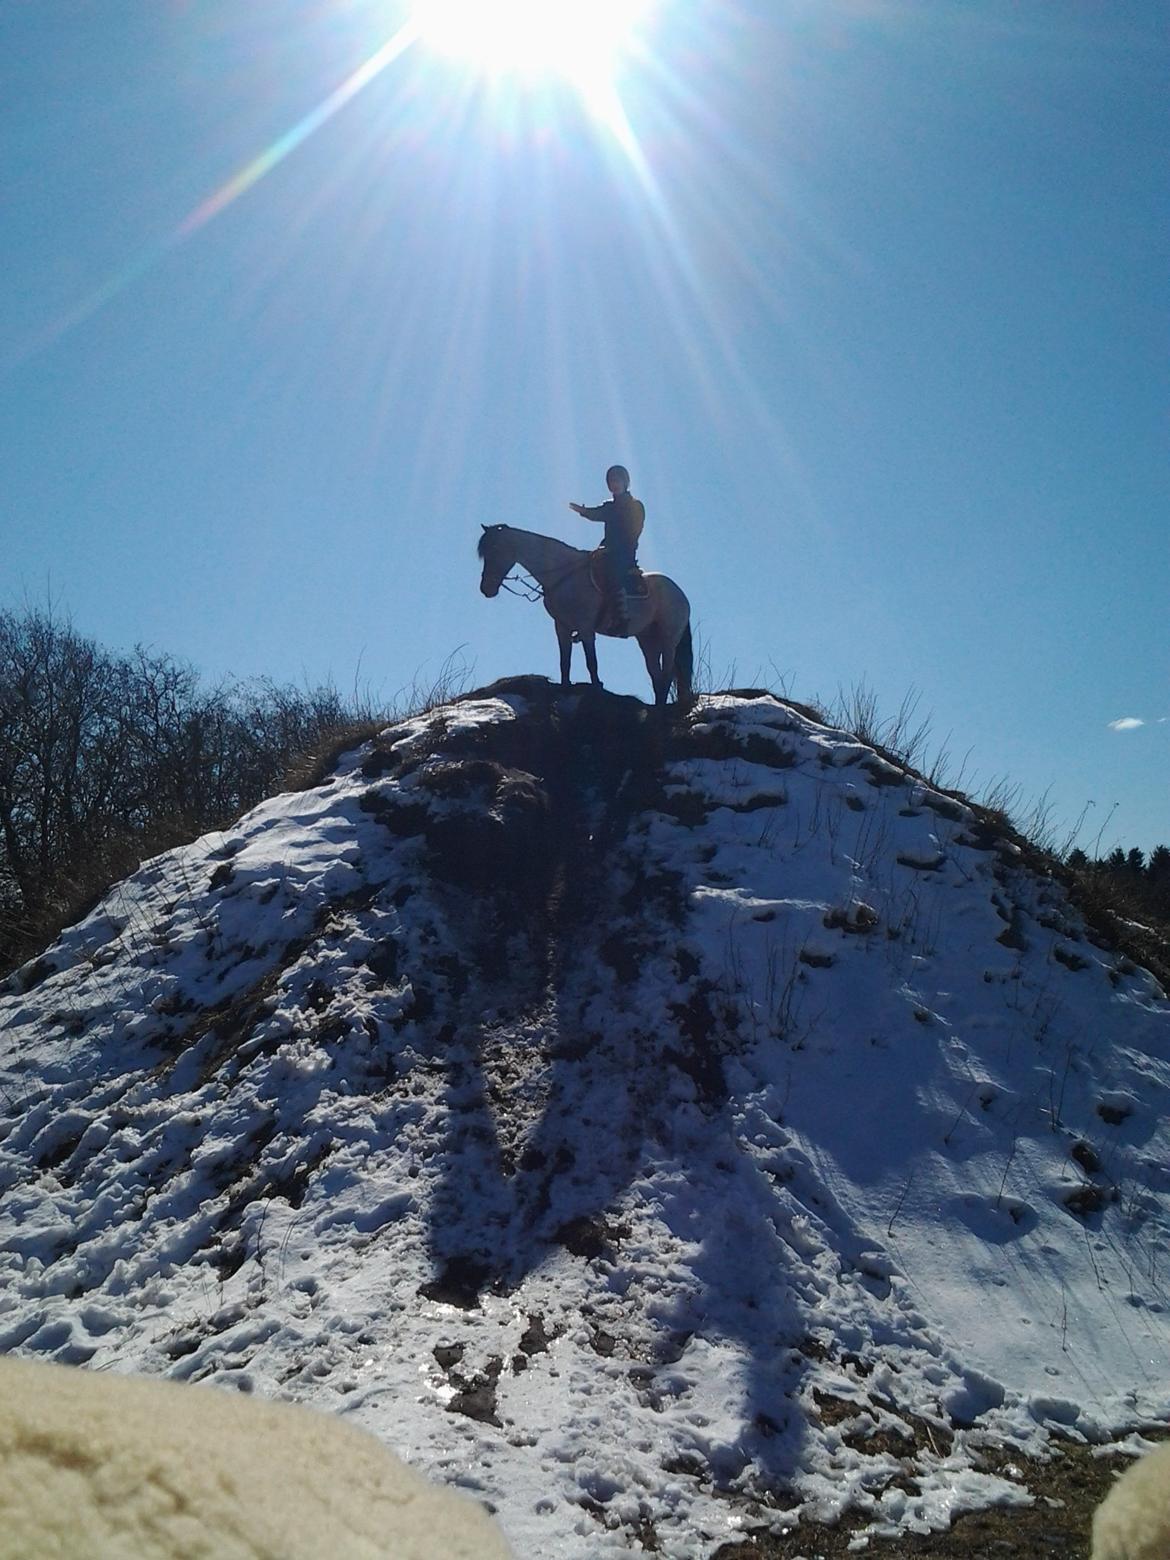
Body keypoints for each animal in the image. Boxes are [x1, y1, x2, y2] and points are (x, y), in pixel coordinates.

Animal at [477, 524, 692, 708]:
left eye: (496, 549)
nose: (486, 588)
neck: (563, 575)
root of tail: (681, 594)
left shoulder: (586, 628)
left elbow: (592, 663)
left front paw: (597, 689)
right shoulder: (562, 627)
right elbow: (565, 662)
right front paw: (565, 688)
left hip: (668, 640)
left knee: (666, 674)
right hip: (647, 641)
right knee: (656, 675)